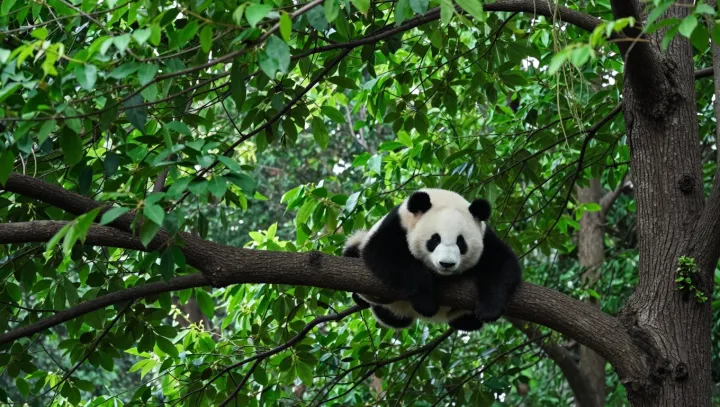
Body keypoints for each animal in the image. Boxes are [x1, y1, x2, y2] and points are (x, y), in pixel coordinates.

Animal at [342, 188, 522, 332]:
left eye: (461, 242)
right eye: (434, 240)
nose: (446, 264)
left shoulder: (485, 238)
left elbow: (500, 263)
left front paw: (489, 310)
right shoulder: (397, 225)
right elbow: (388, 256)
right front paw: (426, 302)